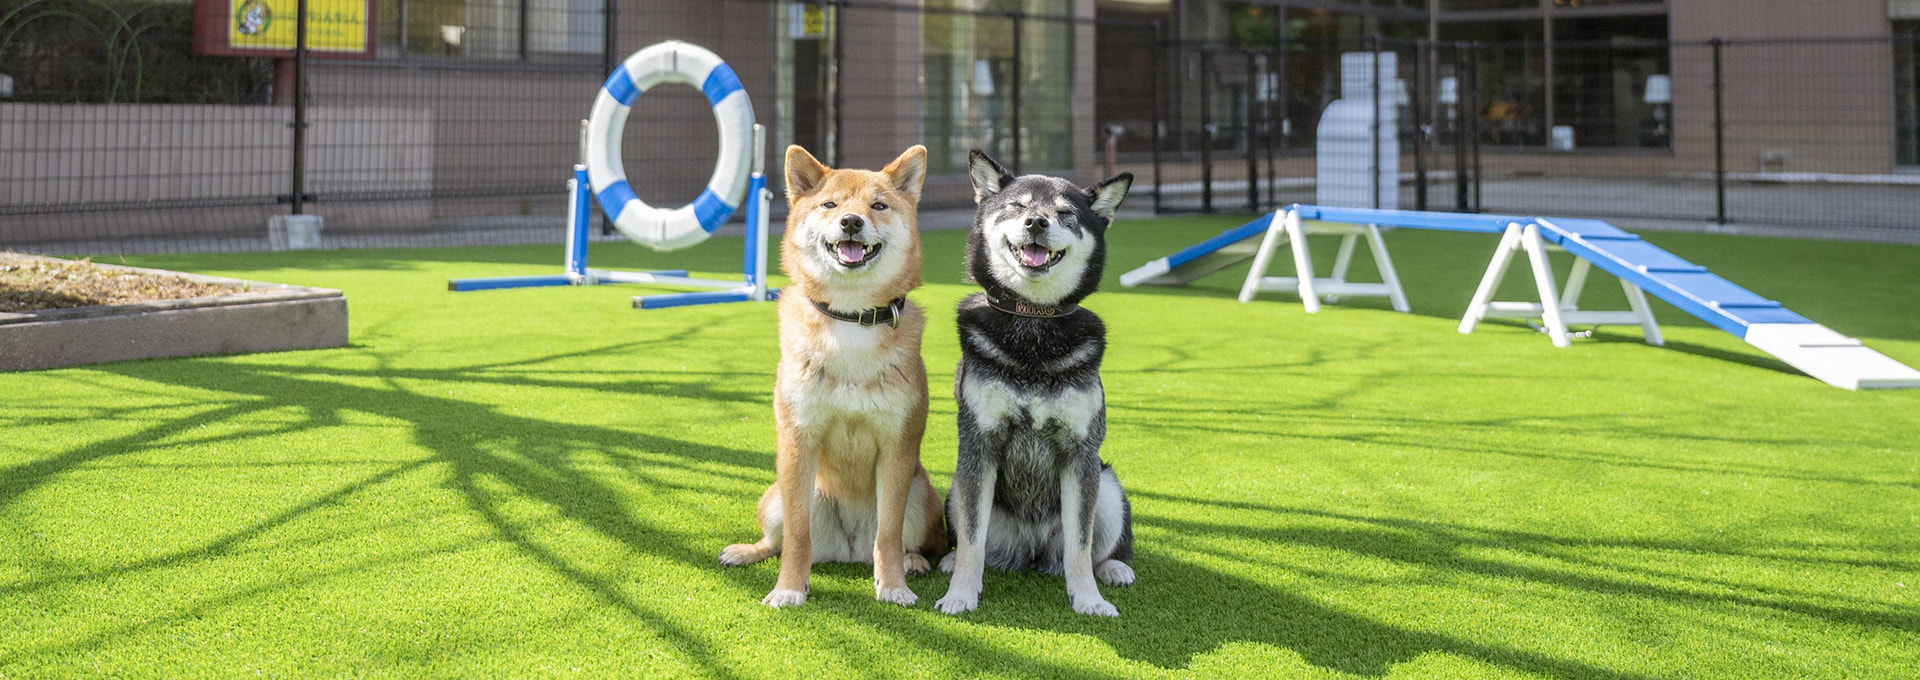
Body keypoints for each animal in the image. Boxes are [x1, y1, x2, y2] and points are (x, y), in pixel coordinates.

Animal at [936, 151, 1128, 618]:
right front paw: (960, 594)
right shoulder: (979, 445)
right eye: (1018, 206)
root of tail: (1032, 552)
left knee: (1096, 550)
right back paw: (949, 561)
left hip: (1109, 489)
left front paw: (1089, 599)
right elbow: (971, 539)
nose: (1037, 222)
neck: (1033, 323)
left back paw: (1114, 569)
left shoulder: (1081, 453)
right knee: (973, 541)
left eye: (1065, 213)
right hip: (956, 486)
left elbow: (1081, 545)